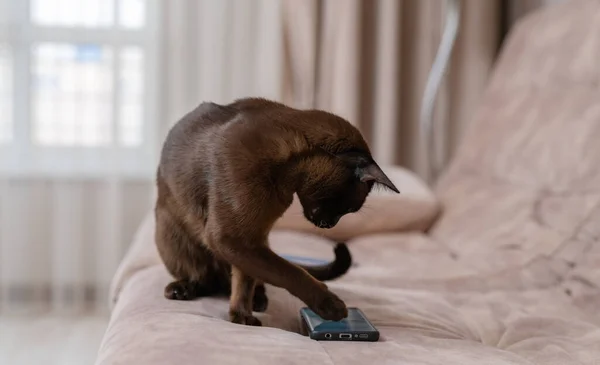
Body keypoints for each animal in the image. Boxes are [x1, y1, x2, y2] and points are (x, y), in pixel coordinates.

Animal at [156, 96, 398, 324]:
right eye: (347, 207)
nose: (330, 225)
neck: (285, 181)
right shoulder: (233, 238)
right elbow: (290, 271)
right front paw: (333, 307)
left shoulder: (252, 238)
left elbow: (247, 280)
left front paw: (242, 316)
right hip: (172, 237)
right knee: (203, 278)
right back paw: (181, 289)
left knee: (241, 281)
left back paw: (258, 300)